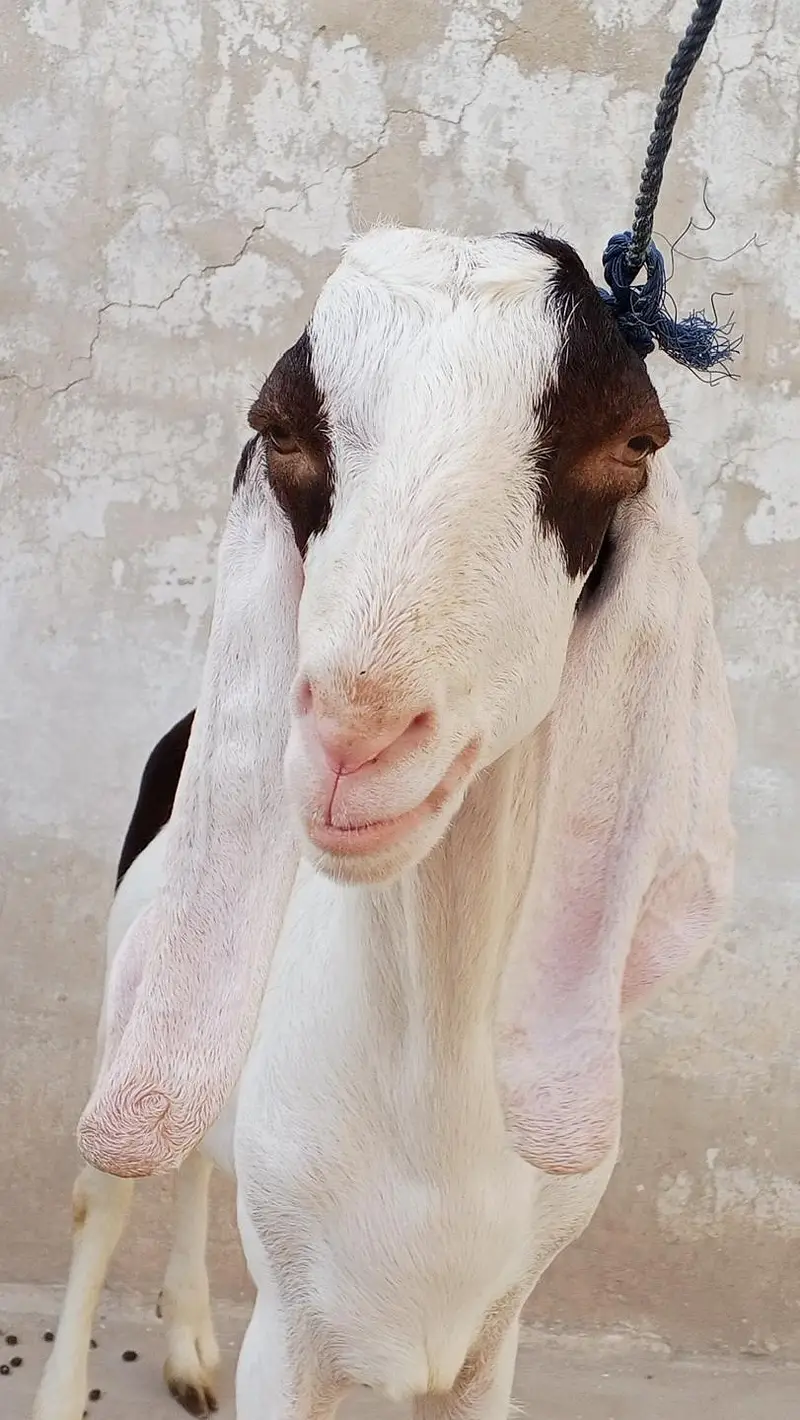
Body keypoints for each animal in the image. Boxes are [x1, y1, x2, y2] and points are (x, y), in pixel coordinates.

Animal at [38, 226, 735, 1420]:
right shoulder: (292, 1335)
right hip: (134, 1018)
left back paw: (188, 1348)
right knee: (109, 1198)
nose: (356, 739)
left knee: (195, 1166)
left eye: (634, 441)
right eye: (279, 430)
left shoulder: (486, 1344)